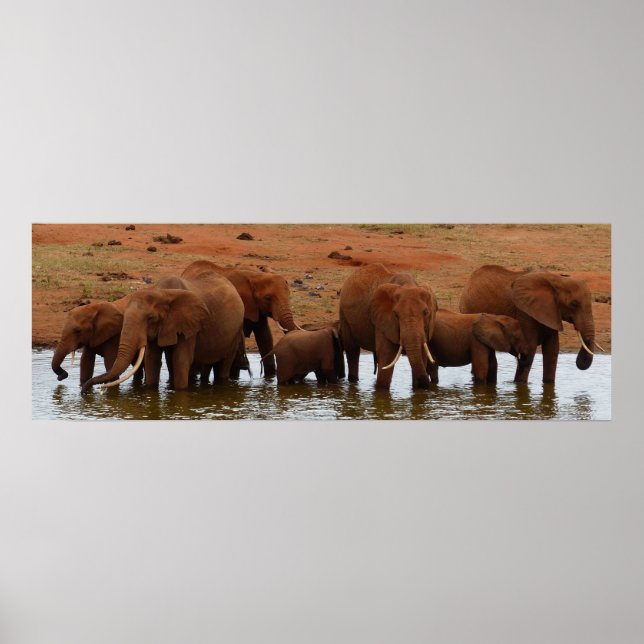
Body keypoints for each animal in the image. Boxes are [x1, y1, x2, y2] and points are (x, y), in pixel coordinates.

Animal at [81, 270, 244, 394]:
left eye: (151, 318)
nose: (84, 391)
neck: (164, 293)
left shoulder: (188, 325)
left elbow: (181, 360)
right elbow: (152, 360)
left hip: (236, 330)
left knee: (224, 364)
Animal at [459, 265, 598, 383]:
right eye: (573, 304)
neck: (556, 279)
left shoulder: (551, 312)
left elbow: (552, 349)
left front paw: (548, 384)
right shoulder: (524, 311)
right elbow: (530, 347)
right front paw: (519, 384)